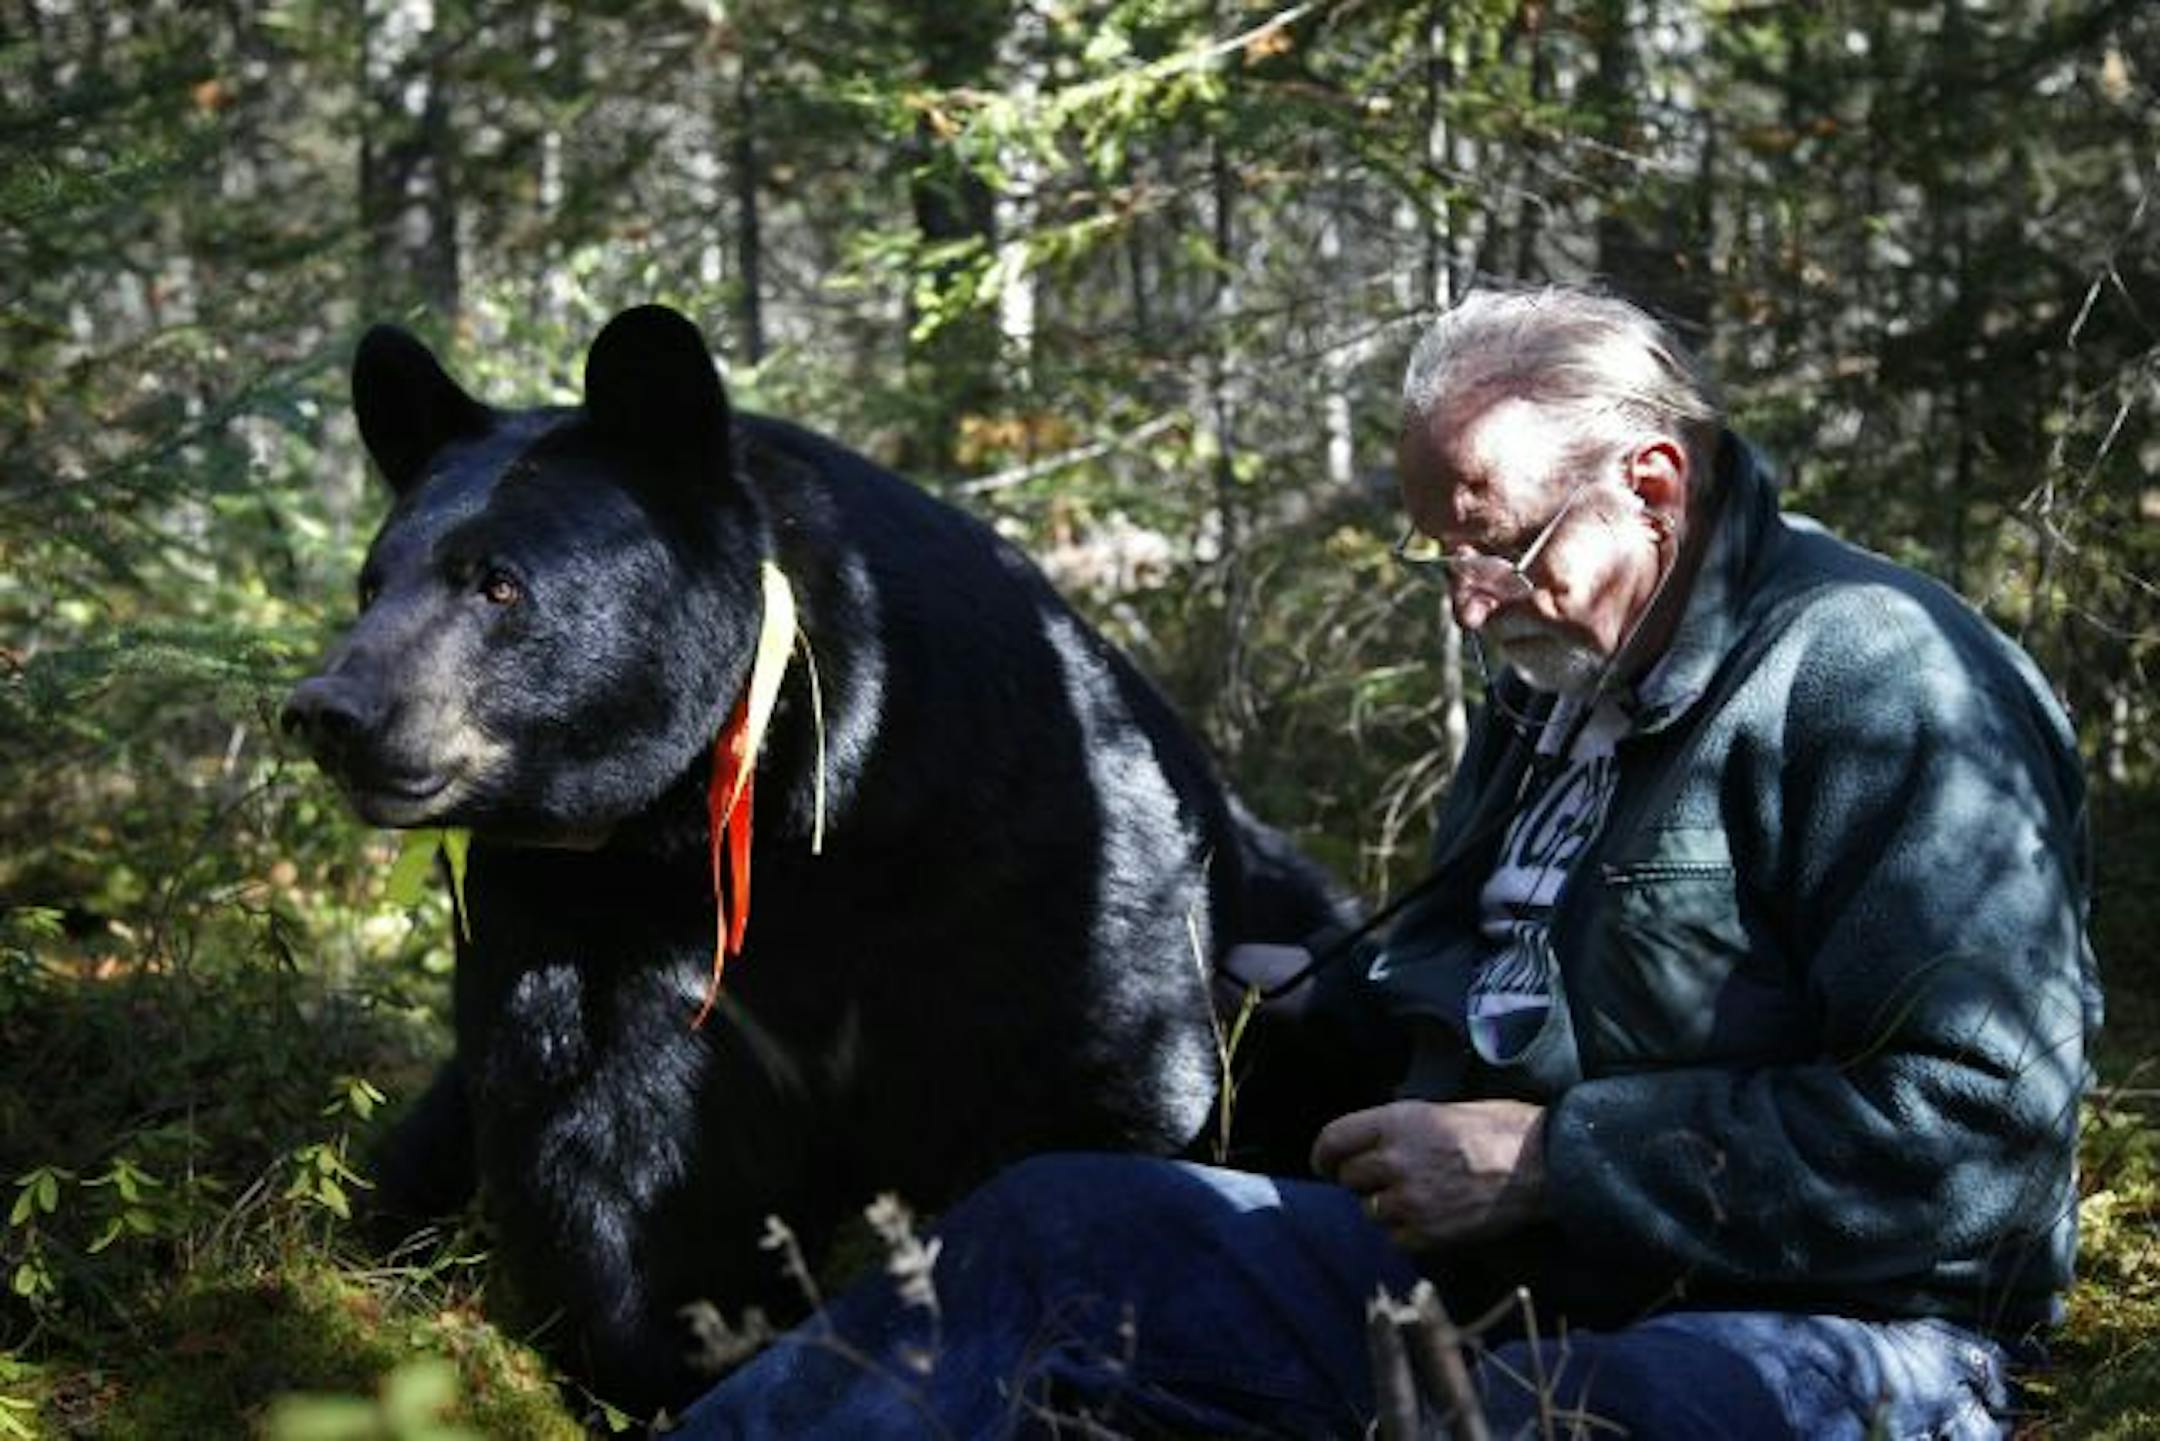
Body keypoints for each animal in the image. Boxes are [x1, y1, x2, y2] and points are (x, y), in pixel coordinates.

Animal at [282, 305, 1380, 1419]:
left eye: (499, 582)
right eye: (373, 582)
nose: (330, 710)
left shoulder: (1015, 837)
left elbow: (1094, 1074)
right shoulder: (584, 915)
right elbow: (611, 1151)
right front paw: (664, 1365)